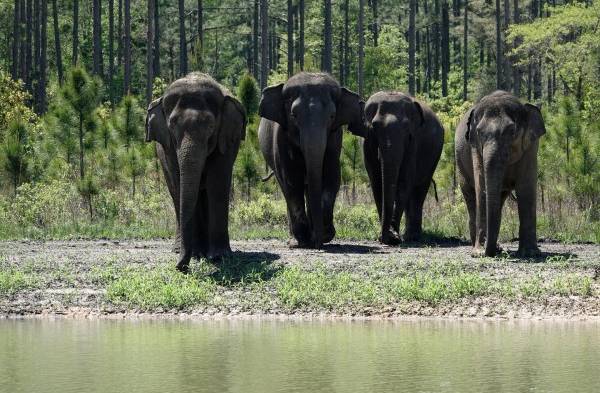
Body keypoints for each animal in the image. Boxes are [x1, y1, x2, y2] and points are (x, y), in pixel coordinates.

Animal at [145, 72, 246, 272]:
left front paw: (219, 256)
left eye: (211, 126)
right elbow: (180, 183)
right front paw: (197, 255)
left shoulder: (225, 140)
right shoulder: (168, 147)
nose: (180, 267)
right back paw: (183, 250)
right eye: (172, 125)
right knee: (176, 193)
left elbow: (217, 183)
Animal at [258, 72, 366, 247]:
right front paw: (304, 238)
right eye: (294, 115)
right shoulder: (281, 138)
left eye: (332, 116)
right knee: (287, 187)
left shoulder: (335, 138)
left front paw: (324, 235)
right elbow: (292, 181)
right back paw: (294, 240)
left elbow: (331, 178)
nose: (318, 245)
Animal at [364, 92, 442, 245]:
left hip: (434, 155)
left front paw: (393, 237)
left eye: (407, 129)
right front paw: (388, 236)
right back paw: (408, 235)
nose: (384, 239)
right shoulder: (366, 143)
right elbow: (376, 182)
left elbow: (405, 182)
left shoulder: (414, 142)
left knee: (419, 190)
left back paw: (412, 237)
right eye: (374, 127)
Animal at [458, 90, 548, 258]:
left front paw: (530, 253)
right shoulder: (474, 146)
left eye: (512, 131)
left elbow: (525, 188)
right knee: (470, 196)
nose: (488, 253)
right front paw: (478, 253)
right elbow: (481, 187)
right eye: (479, 132)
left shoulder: (531, 146)